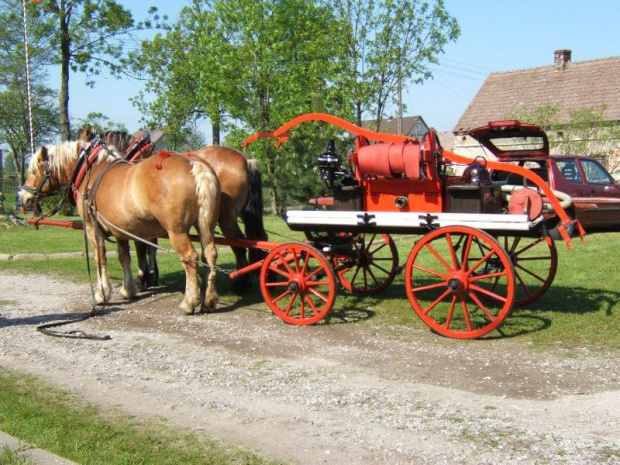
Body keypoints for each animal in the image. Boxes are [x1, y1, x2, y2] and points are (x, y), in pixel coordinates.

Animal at [18, 140, 223, 314]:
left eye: (34, 170)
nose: (22, 196)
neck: (91, 172)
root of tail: (193, 164)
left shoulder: (93, 228)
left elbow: (99, 258)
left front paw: (101, 294)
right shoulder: (120, 229)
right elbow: (124, 257)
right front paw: (128, 290)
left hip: (177, 231)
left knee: (190, 258)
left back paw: (189, 302)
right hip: (205, 225)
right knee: (209, 254)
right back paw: (209, 299)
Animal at [78, 127, 268, 294]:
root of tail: (245, 159)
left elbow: (141, 247)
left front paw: (142, 279)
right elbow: (151, 247)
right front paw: (152, 276)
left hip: (226, 217)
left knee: (239, 245)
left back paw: (240, 284)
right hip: (244, 214)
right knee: (258, 238)